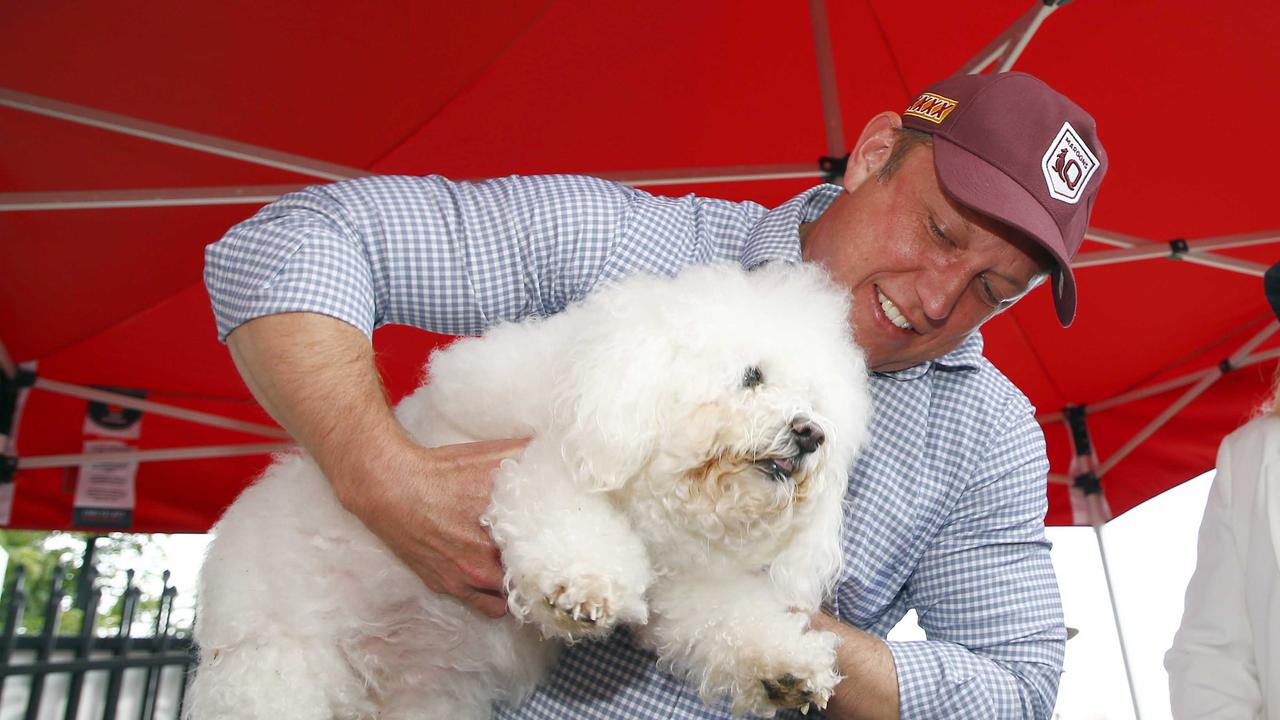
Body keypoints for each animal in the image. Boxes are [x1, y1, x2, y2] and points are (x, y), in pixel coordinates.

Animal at [186, 263, 870, 717]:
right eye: (752, 376)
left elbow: (730, 618)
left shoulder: (682, 582)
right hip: (278, 669)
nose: (810, 433)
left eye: (817, 403)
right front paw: (584, 586)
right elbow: (563, 509)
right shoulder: (530, 459)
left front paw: (786, 668)